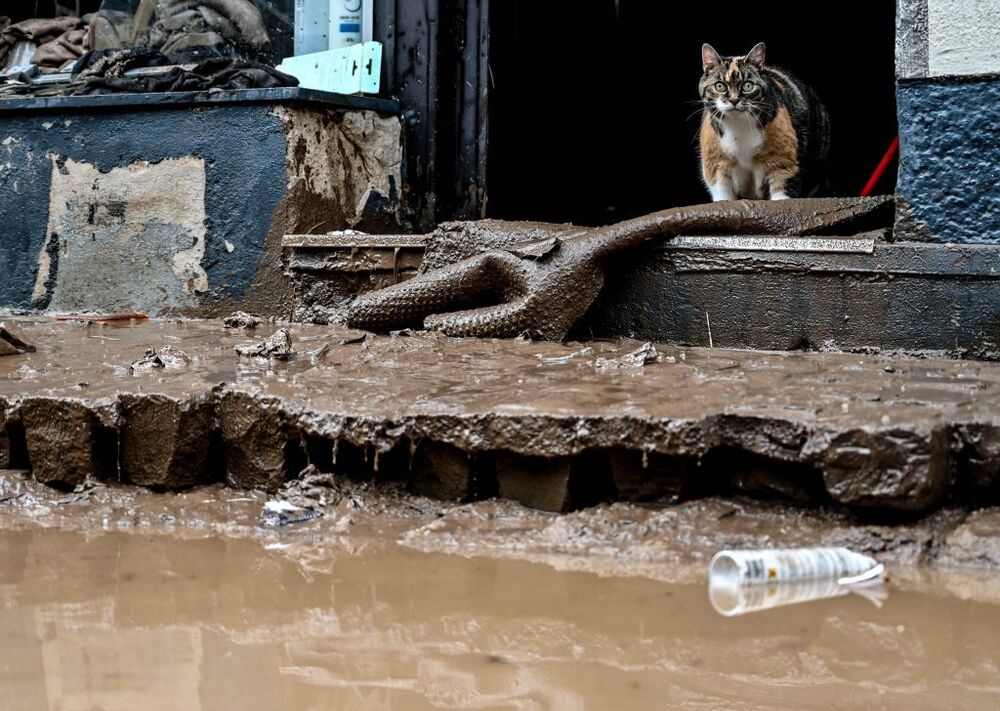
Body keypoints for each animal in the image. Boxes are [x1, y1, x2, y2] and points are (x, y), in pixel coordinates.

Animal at [696, 42, 828, 200]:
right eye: (719, 86)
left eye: (747, 86)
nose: (734, 100)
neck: (738, 126)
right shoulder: (716, 161)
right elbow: (721, 189)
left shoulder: (783, 159)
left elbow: (781, 185)